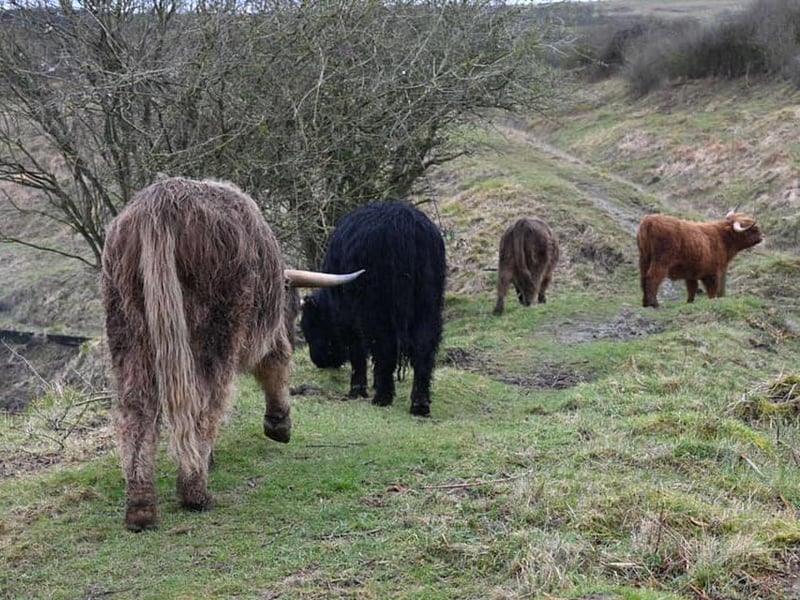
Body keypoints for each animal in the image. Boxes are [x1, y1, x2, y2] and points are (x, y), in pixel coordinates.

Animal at [102, 177, 362, 531]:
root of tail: (160, 204)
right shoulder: (268, 331)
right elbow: (275, 364)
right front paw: (279, 426)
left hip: (128, 330)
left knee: (136, 410)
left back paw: (141, 507)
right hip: (215, 332)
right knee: (205, 403)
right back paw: (195, 492)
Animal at [300, 201, 446, 417]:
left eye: (310, 327)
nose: (318, 360)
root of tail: (404, 221)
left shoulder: (349, 317)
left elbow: (357, 350)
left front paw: (357, 389)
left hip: (377, 309)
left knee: (385, 344)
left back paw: (382, 397)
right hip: (428, 304)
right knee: (423, 348)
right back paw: (419, 404)